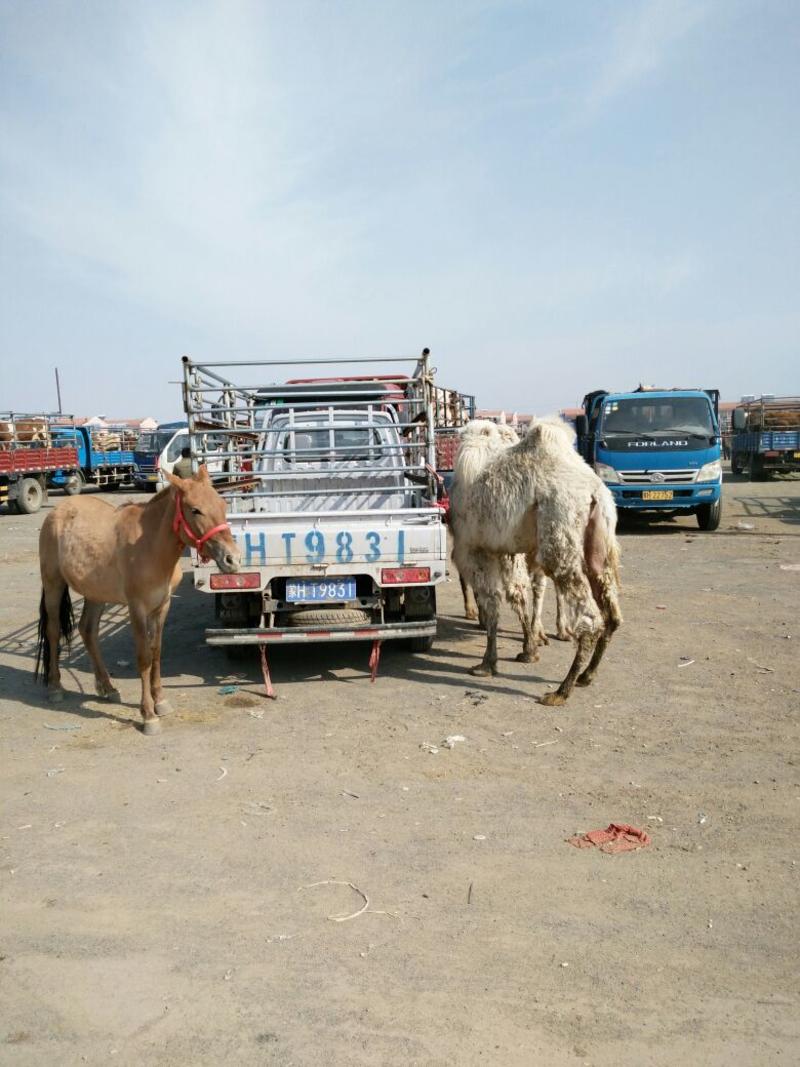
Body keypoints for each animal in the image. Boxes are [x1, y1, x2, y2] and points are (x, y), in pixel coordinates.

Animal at [34, 469, 240, 734]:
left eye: (222, 504)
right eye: (195, 510)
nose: (232, 559)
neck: (151, 546)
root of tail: (57, 511)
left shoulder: (162, 607)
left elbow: (156, 652)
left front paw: (160, 701)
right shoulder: (137, 608)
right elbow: (143, 657)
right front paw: (148, 714)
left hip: (96, 594)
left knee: (87, 630)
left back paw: (107, 687)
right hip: (53, 584)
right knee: (52, 631)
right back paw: (55, 687)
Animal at [452, 418, 618, 708]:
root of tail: (594, 492)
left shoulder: (476, 549)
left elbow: (493, 602)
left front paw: (487, 664)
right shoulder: (505, 550)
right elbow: (513, 594)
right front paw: (526, 649)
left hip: (559, 536)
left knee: (590, 618)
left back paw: (561, 691)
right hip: (600, 547)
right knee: (613, 614)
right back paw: (587, 675)